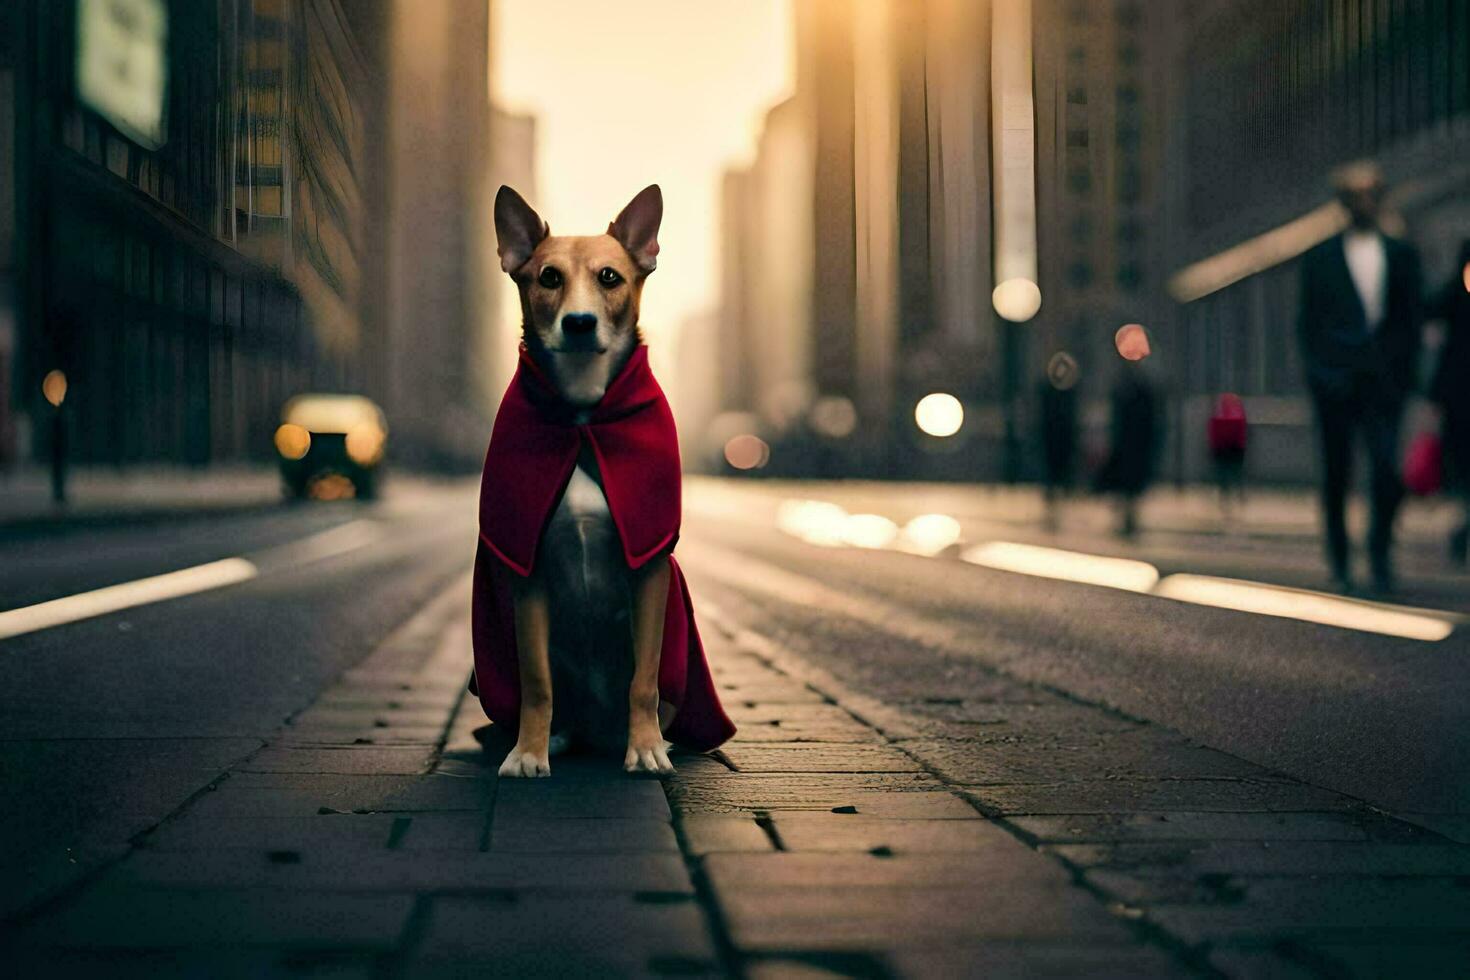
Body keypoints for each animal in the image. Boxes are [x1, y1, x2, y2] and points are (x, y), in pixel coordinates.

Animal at [490, 185, 679, 781]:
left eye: (610, 277)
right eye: (548, 277)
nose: (578, 322)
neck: (580, 419)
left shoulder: (649, 568)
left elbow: (644, 680)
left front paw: (646, 747)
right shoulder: (528, 572)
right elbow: (537, 683)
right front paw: (529, 752)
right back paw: (560, 737)